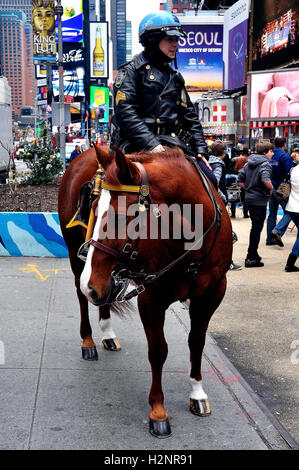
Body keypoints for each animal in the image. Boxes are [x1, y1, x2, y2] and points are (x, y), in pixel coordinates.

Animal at [58, 143, 232, 436]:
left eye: (120, 217)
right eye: (92, 206)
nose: (90, 284)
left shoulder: (212, 295)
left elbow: (196, 342)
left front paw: (197, 393)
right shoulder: (151, 297)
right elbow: (158, 351)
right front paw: (158, 410)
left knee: (100, 299)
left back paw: (107, 332)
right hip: (77, 258)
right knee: (82, 298)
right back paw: (89, 340)